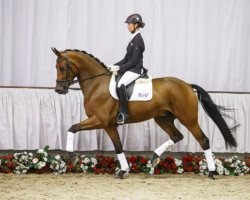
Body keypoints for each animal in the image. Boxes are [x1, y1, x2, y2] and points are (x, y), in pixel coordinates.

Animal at [51, 47, 237, 179]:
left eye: (62, 67)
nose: (59, 89)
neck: (97, 84)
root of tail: (188, 86)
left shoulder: (100, 121)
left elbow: (72, 128)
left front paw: (72, 157)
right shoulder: (109, 125)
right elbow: (118, 146)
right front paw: (123, 170)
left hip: (188, 119)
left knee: (203, 140)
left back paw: (211, 172)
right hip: (162, 118)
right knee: (177, 136)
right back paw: (154, 158)